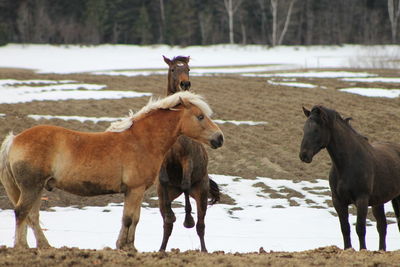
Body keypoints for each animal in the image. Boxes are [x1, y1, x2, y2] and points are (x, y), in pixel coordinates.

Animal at [0, 91, 223, 250]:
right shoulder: (135, 189)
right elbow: (131, 218)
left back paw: (44, 246)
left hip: (37, 189)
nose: (219, 138)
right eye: (200, 117)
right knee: (22, 212)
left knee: (32, 216)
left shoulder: (132, 191)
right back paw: (21, 247)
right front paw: (128, 247)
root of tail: (15, 139)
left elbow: (129, 218)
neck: (142, 141)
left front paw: (124, 245)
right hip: (31, 187)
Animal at [298, 105, 400, 252]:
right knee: (382, 226)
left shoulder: (362, 200)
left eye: (316, 129)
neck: (347, 164)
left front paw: (363, 250)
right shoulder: (338, 201)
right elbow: (345, 228)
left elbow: (360, 228)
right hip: (379, 202)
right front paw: (348, 249)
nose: (304, 155)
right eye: (305, 128)